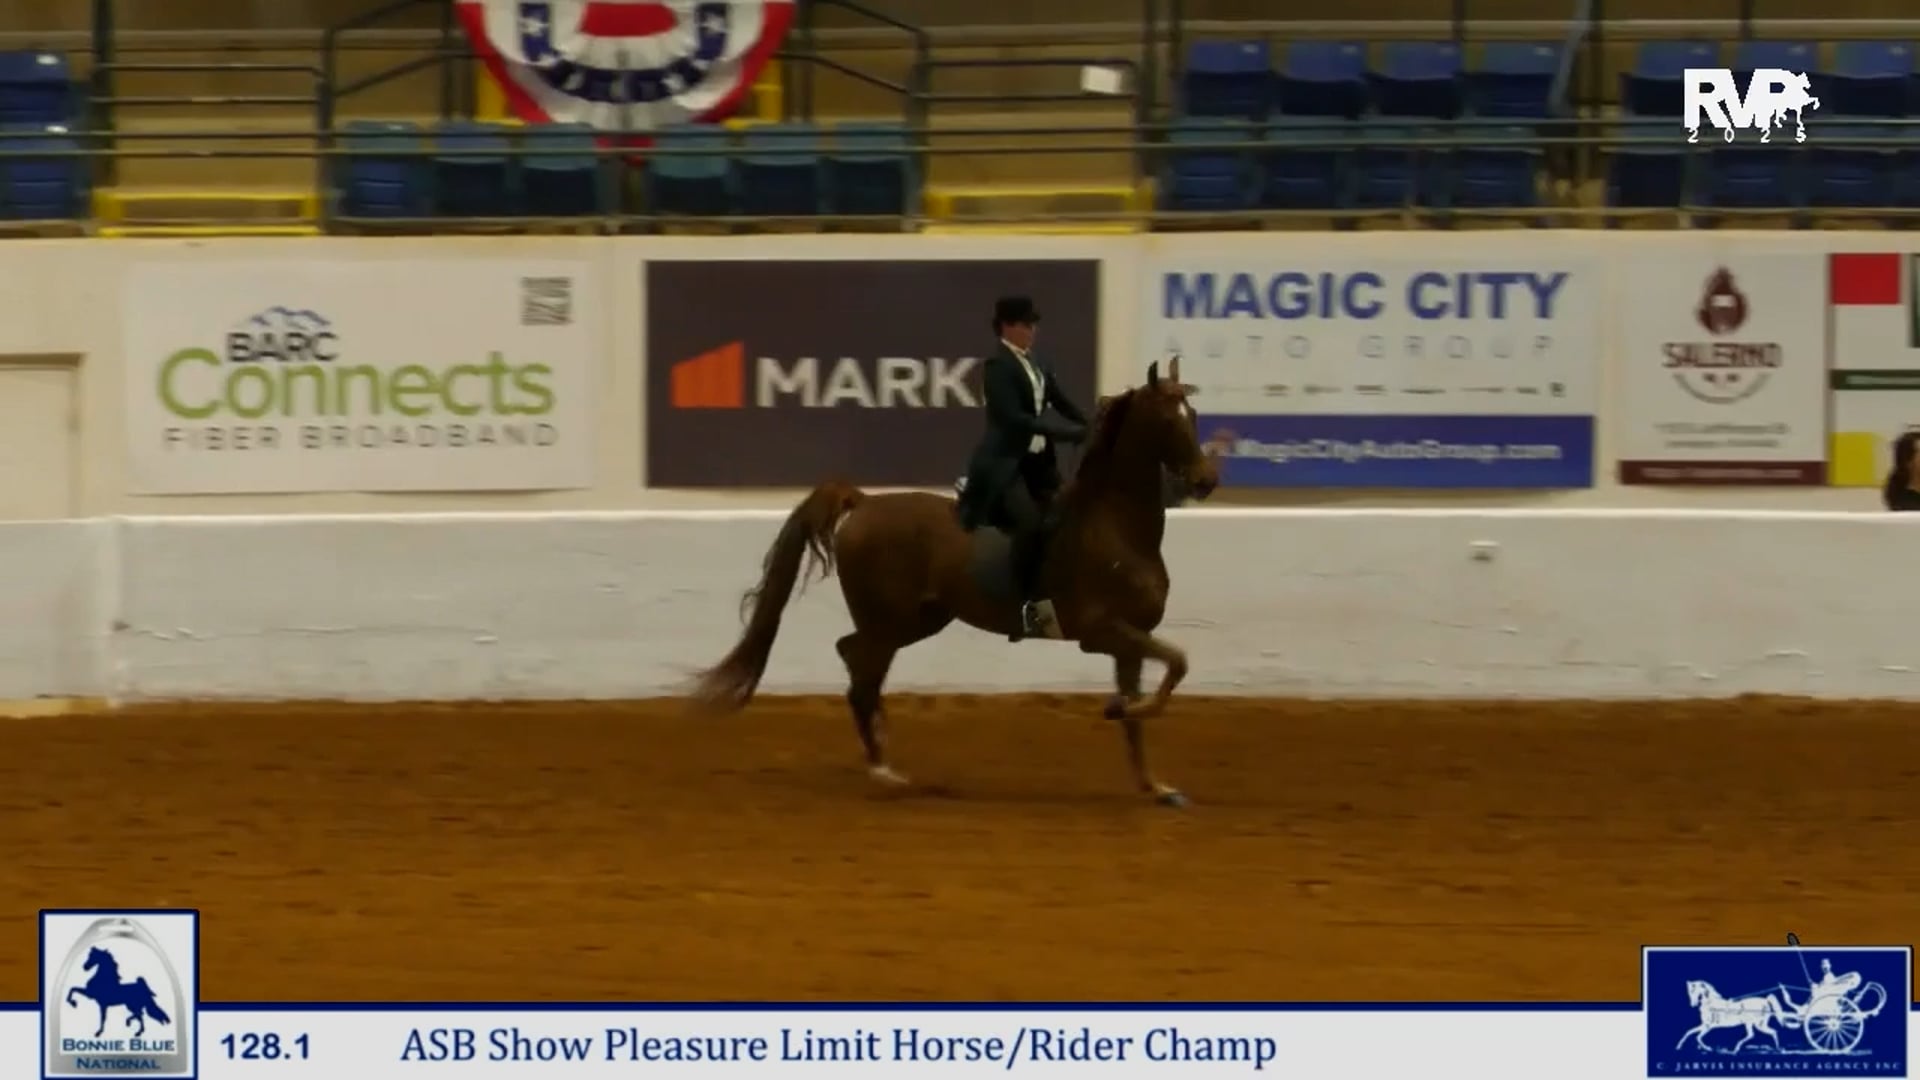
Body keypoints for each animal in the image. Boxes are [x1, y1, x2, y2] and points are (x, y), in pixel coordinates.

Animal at [689, 356, 1221, 805]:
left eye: (1192, 413)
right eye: (1168, 420)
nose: (1205, 481)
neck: (1116, 527)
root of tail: (865, 502)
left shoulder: (1131, 638)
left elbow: (1147, 702)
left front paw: (1154, 784)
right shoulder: (1100, 631)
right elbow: (1177, 665)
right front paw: (1118, 715)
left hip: (918, 619)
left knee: (855, 657)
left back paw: (881, 747)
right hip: (892, 620)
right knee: (861, 673)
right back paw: (885, 772)